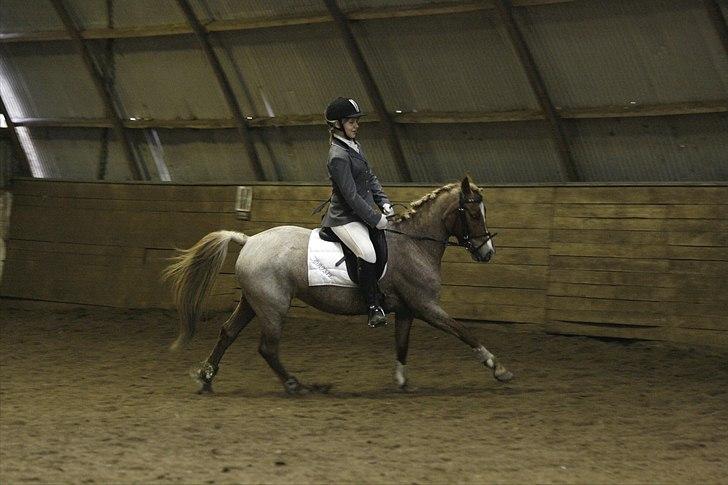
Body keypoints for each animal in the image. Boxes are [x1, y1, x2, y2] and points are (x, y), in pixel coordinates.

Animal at [163, 176, 514, 395]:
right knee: (267, 348)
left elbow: (402, 344)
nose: (487, 252)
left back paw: (206, 377)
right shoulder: (426, 306)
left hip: (253, 302)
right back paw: (297, 385)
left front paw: (402, 381)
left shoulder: (407, 310)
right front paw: (498, 369)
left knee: (227, 334)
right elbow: (463, 331)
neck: (413, 243)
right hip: (273, 306)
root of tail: (248, 240)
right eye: (472, 213)